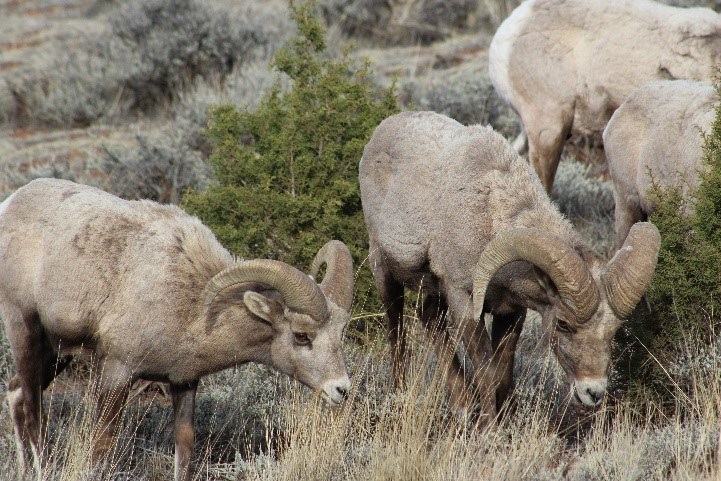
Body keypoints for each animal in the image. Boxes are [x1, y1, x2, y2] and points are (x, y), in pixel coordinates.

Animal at [0, 178, 354, 480]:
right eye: (302, 336)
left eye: (339, 335)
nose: (341, 390)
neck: (192, 302)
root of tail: (10, 204)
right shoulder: (117, 373)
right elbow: (101, 447)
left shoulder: (183, 383)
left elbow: (184, 449)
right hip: (25, 330)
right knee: (32, 409)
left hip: (57, 353)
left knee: (16, 393)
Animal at [360, 110, 660, 422]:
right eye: (563, 324)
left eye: (614, 329)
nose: (593, 393)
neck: (490, 214)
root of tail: (385, 128)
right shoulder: (464, 302)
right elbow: (486, 370)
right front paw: (488, 427)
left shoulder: (511, 312)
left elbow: (502, 374)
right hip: (384, 272)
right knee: (396, 331)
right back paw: (402, 394)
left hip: (432, 287)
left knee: (428, 317)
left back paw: (461, 404)